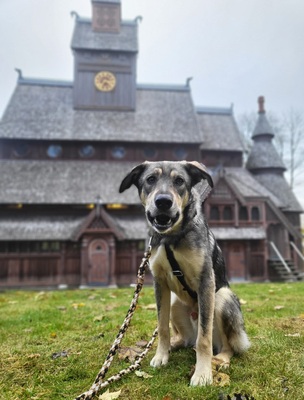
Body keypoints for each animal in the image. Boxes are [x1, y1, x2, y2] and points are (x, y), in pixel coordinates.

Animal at [119, 161, 249, 386]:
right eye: (150, 179)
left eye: (179, 181)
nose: (163, 202)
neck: (171, 237)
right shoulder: (160, 283)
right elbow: (162, 327)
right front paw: (161, 356)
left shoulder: (206, 281)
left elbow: (204, 337)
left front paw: (203, 374)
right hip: (174, 303)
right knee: (185, 339)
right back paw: (174, 344)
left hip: (222, 298)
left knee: (224, 345)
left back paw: (220, 358)